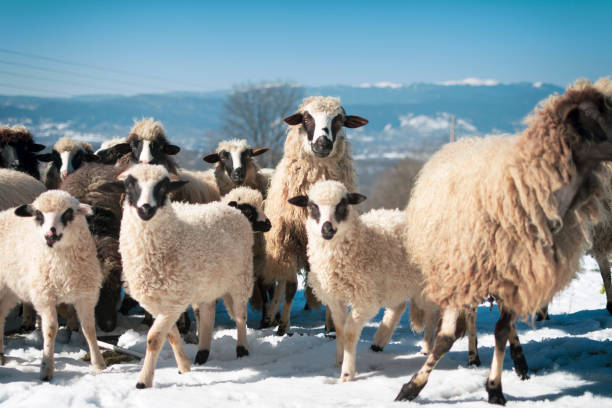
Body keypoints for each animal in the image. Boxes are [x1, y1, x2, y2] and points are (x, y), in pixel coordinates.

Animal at [0, 190, 105, 380]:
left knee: (0, 316)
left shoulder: (86, 296)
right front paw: (46, 369)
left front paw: (99, 364)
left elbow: (89, 329)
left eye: (68, 213)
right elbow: (50, 329)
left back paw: (1, 356)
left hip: (10, 290)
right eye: (39, 215)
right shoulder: (44, 297)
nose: (50, 234)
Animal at [116, 164, 252, 388]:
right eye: (130, 185)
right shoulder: (158, 303)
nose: (145, 208)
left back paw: (242, 350)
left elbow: (154, 338)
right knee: (207, 315)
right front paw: (185, 367)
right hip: (208, 285)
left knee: (241, 316)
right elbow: (170, 336)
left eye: (163, 187)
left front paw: (143, 381)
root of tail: (230, 207)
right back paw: (202, 353)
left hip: (241, 279)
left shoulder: (174, 300)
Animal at [262, 95, 368, 334]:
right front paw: (284, 327)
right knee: (281, 280)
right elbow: (291, 287)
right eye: (306, 118)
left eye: (339, 120)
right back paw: (271, 316)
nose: (323, 143)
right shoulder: (290, 240)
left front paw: (331, 327)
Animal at [288, 182, 438, 382]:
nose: (327, 229)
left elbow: (350, 332)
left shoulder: (365, 299)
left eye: (342, 205)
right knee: (398, 307)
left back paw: (427, 347)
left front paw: (346, 373)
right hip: (393, 282)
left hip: (421, 284)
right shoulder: (335, 298)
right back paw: (379, 341)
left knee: (431, 313)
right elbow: (340, 329)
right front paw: (339, 359)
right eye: (313, 206)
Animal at [392, 79, 612, 404]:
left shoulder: (518, 275)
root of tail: (465, 141)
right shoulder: (462, 273)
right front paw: (411, 387)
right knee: (470, 317)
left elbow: (500, 330)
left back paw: (519, 361)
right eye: (599, 112)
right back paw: (474, 356)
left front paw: (495, 388)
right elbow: (445, 338)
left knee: (505, 327)